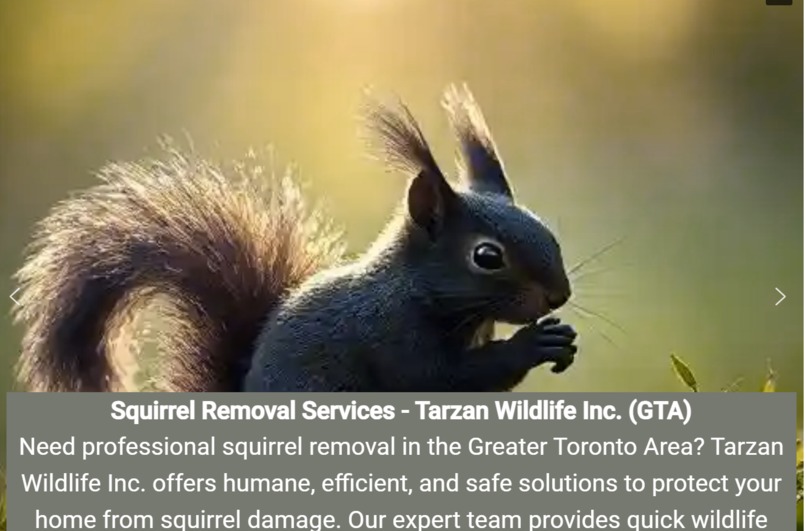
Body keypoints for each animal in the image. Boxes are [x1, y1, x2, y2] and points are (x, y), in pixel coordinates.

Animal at [12, 84, 577, 393]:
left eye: (546, 228)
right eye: (487, 256)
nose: (559, 295)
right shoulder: (390, 334)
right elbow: (442, 379)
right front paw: (536, 342)